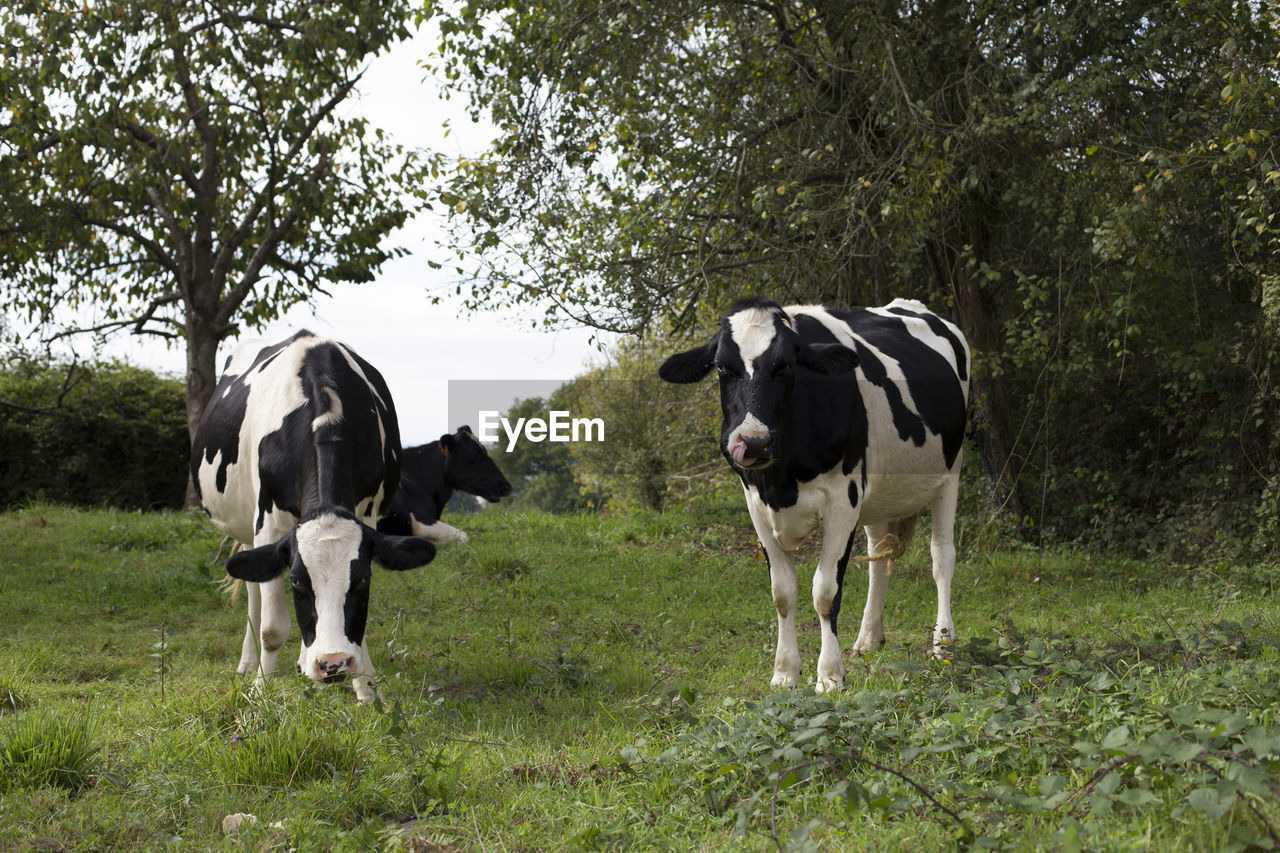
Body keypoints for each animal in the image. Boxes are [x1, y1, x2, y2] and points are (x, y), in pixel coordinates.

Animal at [189, 330, 437, 696]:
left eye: (363, 579)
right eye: (296, 581)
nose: (333, 662)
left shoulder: (368, 515)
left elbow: (358, 627)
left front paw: (366, 687)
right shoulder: (268, 525)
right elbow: (272, 628)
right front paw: (260, 691)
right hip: (247, 528)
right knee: (253, 592)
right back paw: (249, 663)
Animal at [660, 298, 967, 691]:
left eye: (786, 366)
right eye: (721, 366)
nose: (753, 442)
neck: (782, 480)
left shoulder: (843, 499)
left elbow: (825, 591)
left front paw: (830, 675)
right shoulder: (756, 505)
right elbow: (782, 592)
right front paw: (784, 672)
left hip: (951, 470)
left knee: (941, 557)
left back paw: (943, 642)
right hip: (879, 493)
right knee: (878, 559)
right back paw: (869, 638)